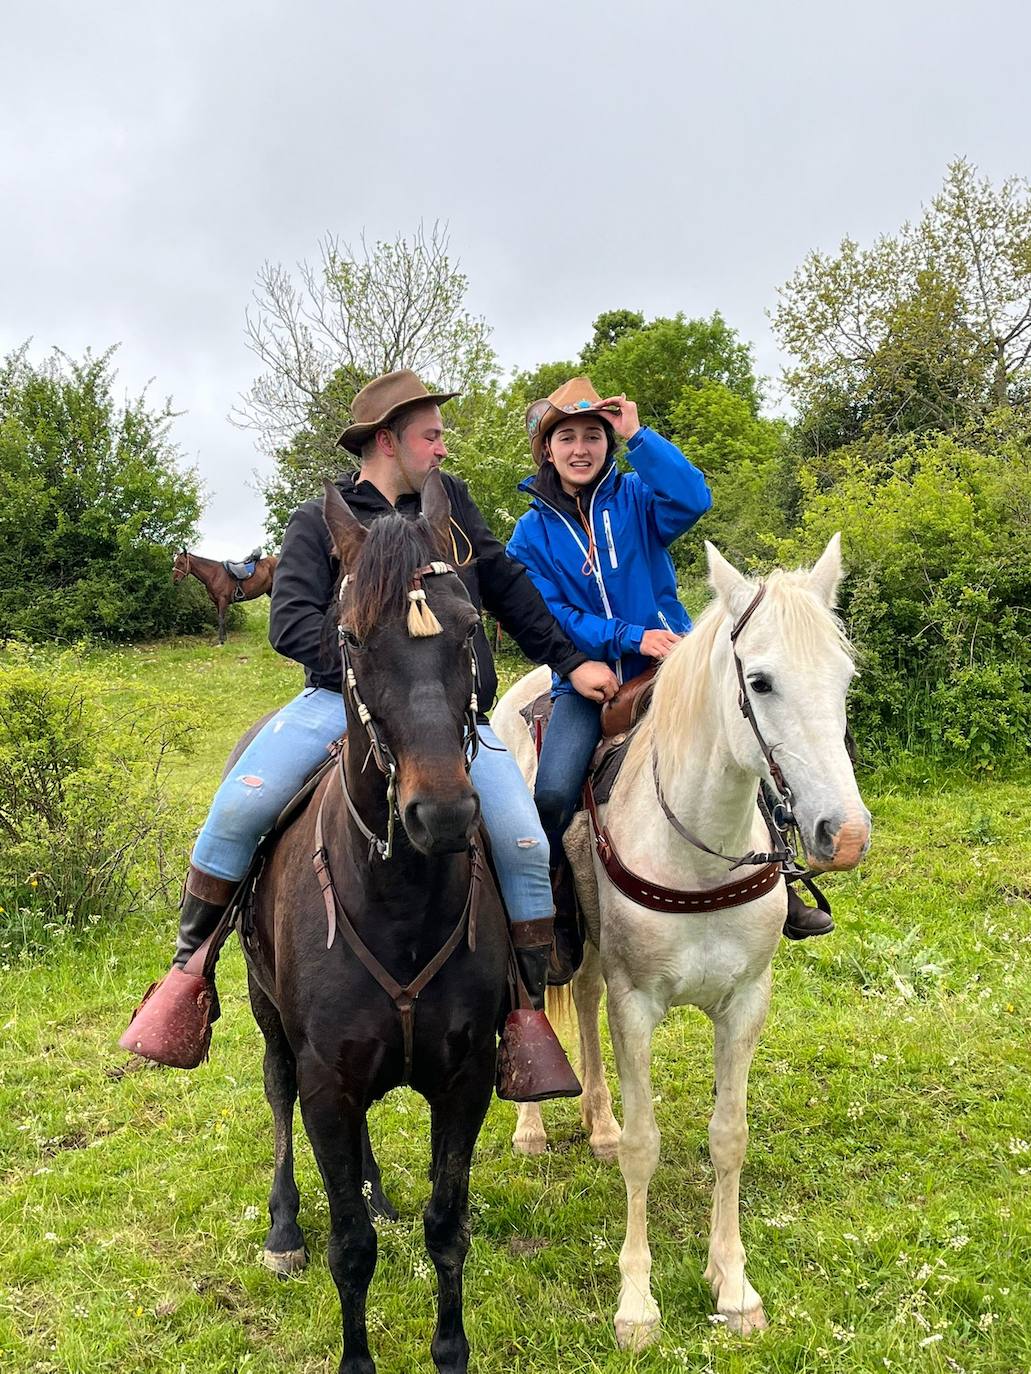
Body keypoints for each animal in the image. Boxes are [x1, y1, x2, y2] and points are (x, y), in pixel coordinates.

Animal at [235, 475, 508, 1374]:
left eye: (469, 628)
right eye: (349, 637)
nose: (442, 813)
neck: (398, 902)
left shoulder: (465, 1080)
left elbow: (445, 1228)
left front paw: (450, 1350)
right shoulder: (327, 1080)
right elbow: (350, 1248)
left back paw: (374, 1185)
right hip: (270, 1020)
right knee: (276, 1091)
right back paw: (284, 1226)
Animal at [492, 538, 874, 1352]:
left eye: (844, 678)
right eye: (759, 681)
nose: (846, 834)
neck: (698, 850)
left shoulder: (745, 1004)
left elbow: (728, 1137)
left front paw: (732, 1286)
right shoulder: (638, 1006)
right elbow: (646, 1146)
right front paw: (637, 1305)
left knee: (583, 997)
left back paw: (598, 1125)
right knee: (540, 991)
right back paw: (535, 1130)